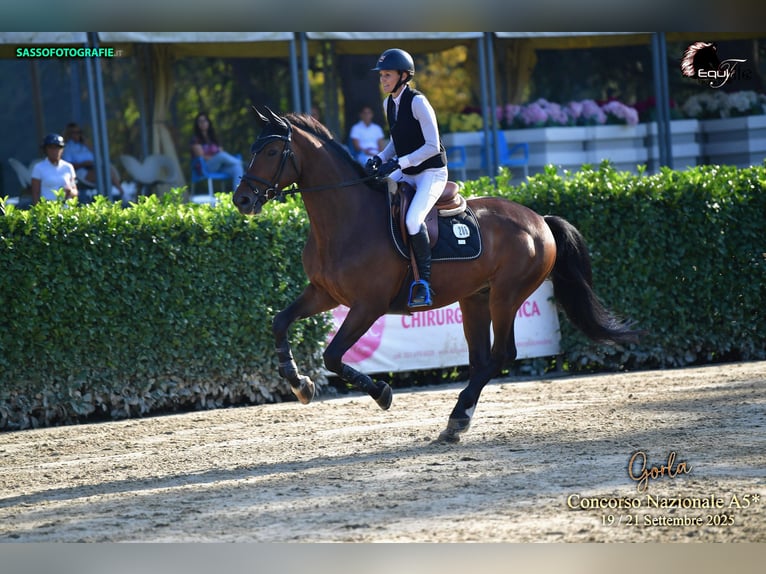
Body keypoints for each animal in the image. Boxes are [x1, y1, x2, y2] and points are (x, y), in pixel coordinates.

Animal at [233, 107, 641, 443]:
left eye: (271, 152)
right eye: (252, 148)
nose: (242, 200)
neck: (344, 220)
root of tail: (539, 219)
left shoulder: (368, 305)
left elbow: (333, 356)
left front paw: (382, 393)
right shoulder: (324, 293)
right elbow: (280, 321)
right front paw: (298, 382)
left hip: (506, 296)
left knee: (501, 354)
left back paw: (457, 417)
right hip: (475, 298)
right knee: (481, 359)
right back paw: (459, 419)